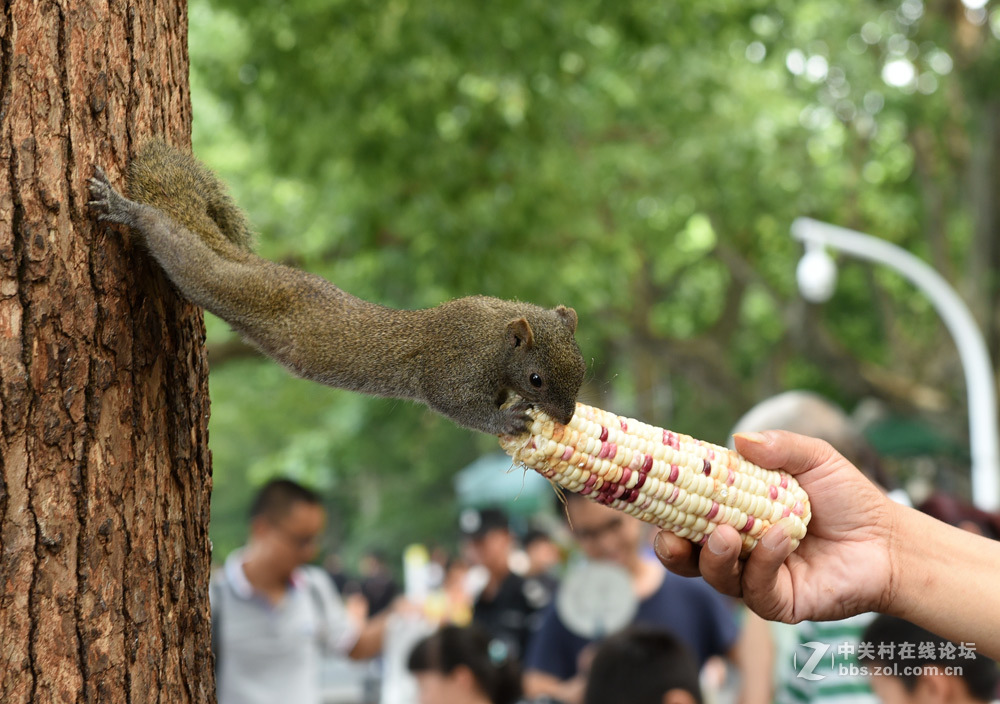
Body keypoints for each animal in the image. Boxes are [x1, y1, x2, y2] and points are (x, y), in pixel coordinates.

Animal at [88, 141, 584, 438]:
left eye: (582, 368)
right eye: (537, 379)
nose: (565, 419)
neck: (495, 334)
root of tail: (252, 264)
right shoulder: (454, 367)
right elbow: (458, 406)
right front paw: (506, 418)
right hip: (222, 282)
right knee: (178, 248)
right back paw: (125, 209)